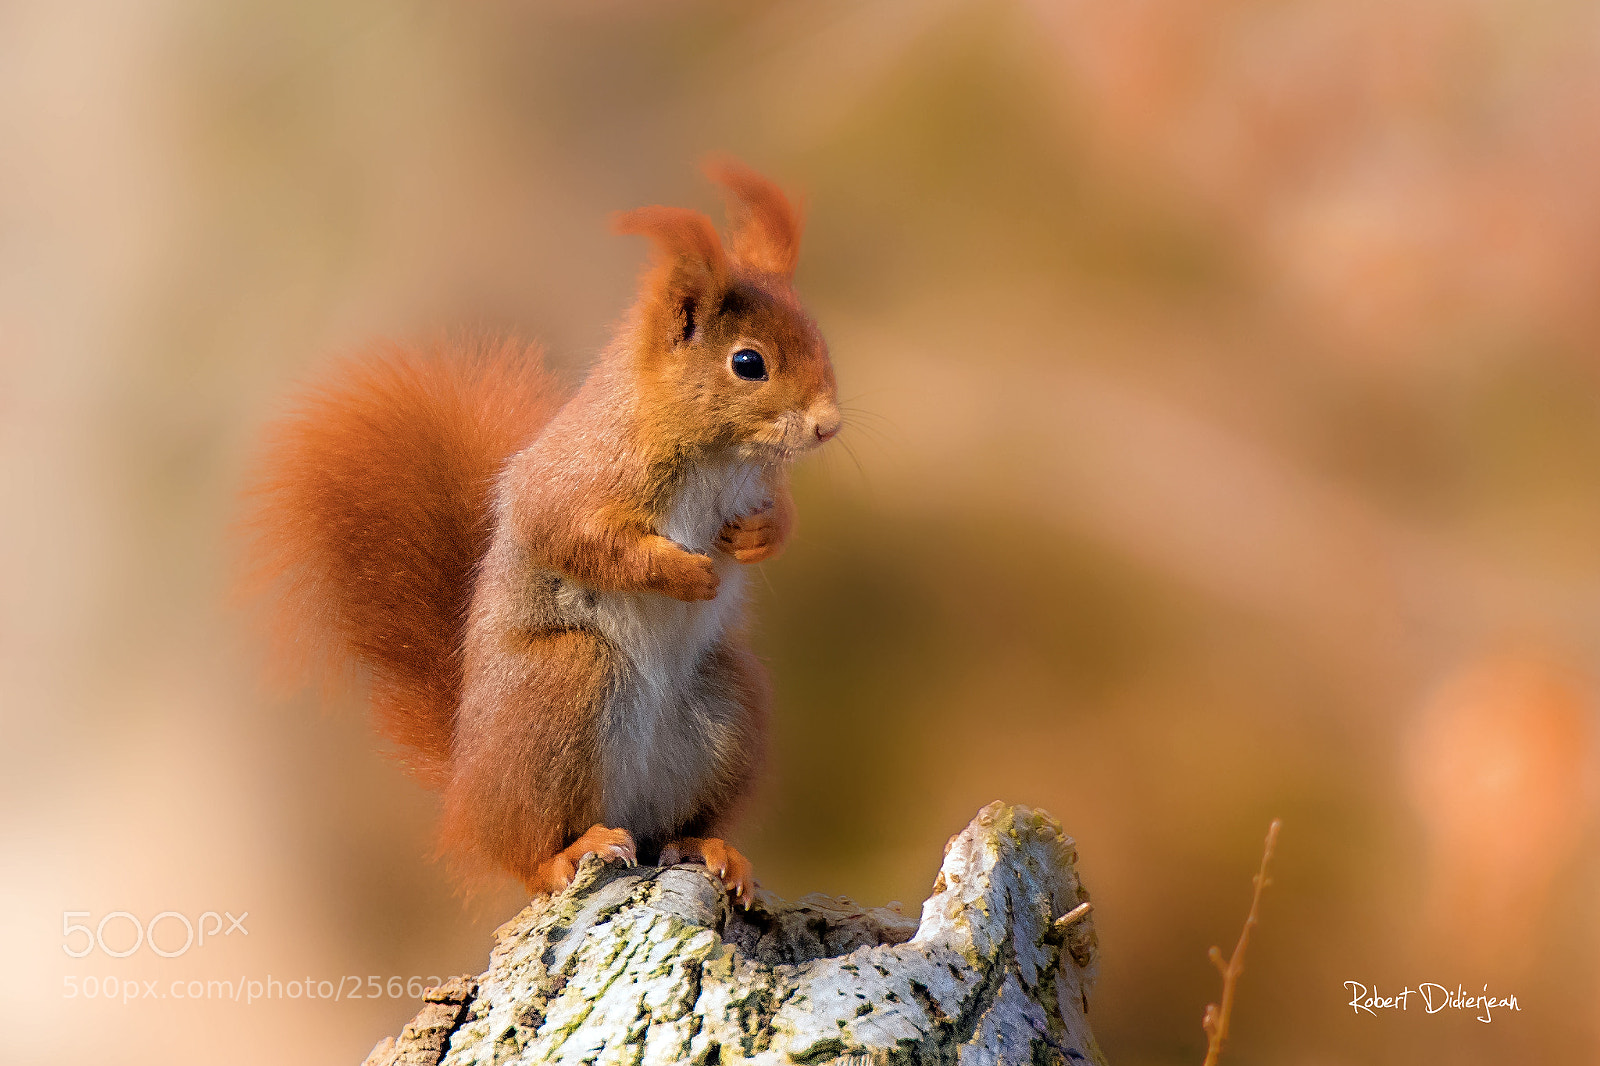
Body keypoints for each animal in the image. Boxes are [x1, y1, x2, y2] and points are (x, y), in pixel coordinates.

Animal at [242, 159, 839, 902]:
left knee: (674, 827)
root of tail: (466, 789)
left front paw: (753, 538)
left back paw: (710, 849)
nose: (828, 425)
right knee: (527, 851)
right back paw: (567, 853)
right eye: (748, 363)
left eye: (818, 337)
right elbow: (578, 540)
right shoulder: (576, 481)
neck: (719, 456)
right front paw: (686, 571)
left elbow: (778, 517)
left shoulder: (756, 484)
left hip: (727, 701)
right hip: (564, 685)